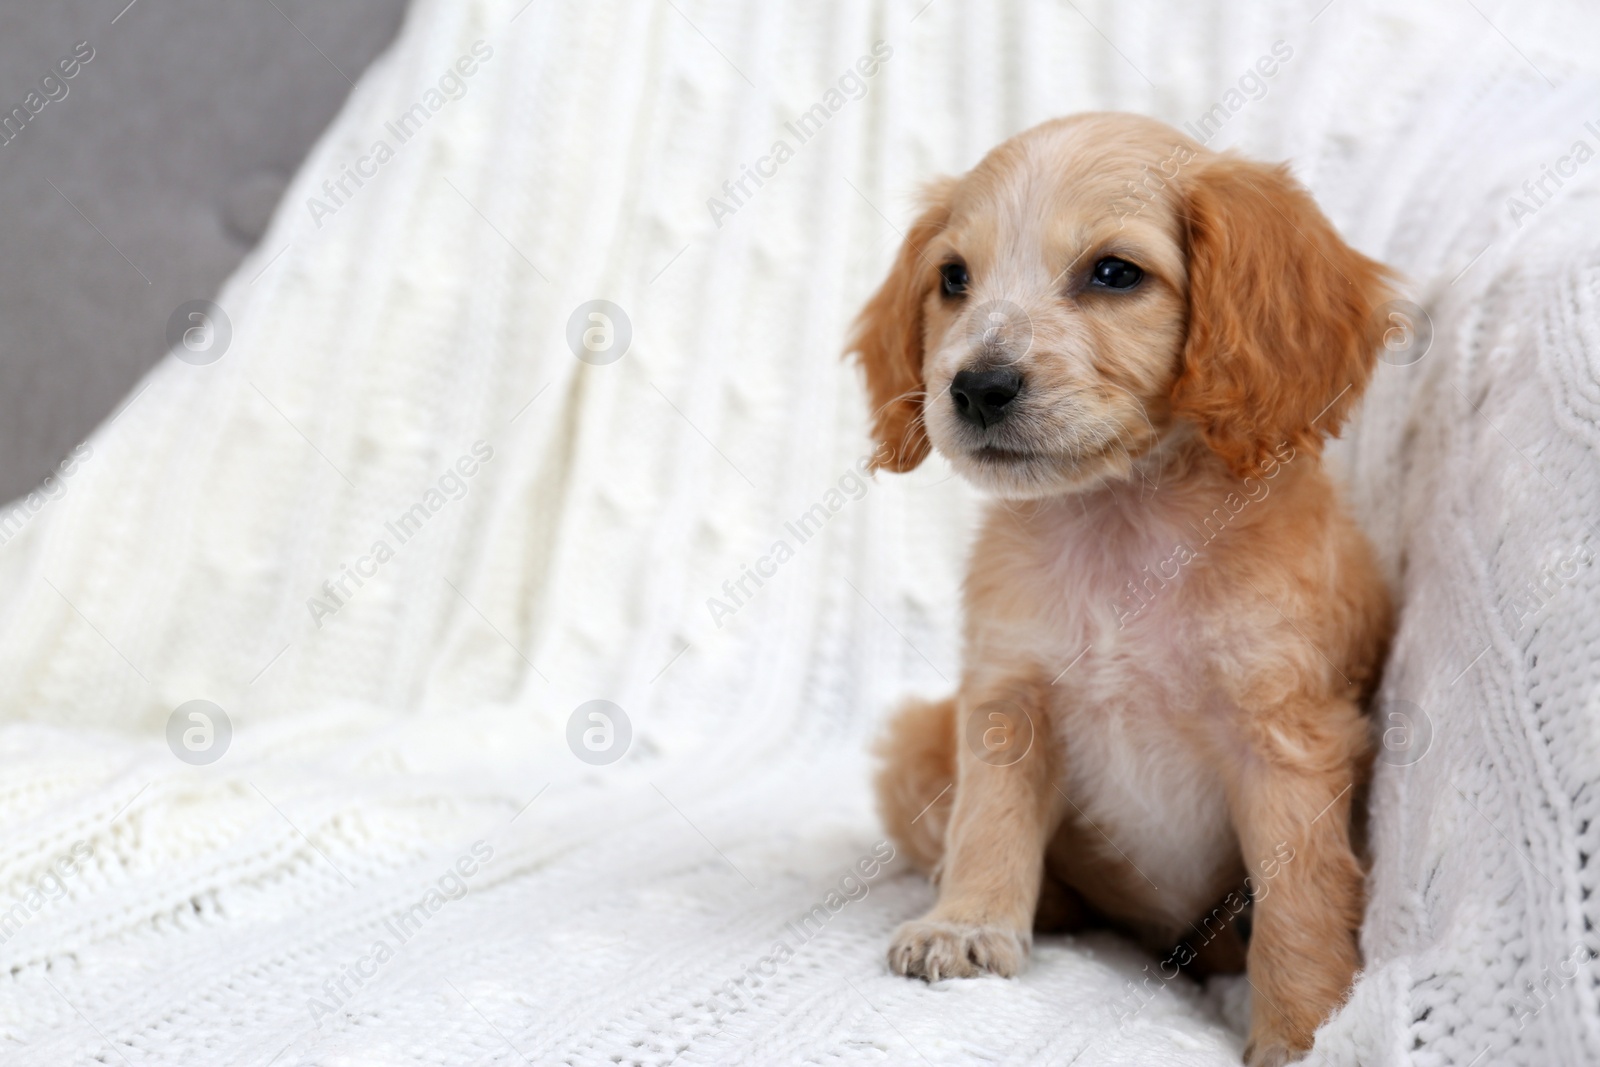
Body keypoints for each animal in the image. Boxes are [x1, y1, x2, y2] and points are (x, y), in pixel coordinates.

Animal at [857, 115, 1395, 1067]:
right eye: (953, 279)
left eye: (1114, 272)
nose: (976, 388)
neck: (1123, 520)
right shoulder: (1006, 697)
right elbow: (987, 823)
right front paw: (968, 924)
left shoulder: (1286, 734)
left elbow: (1302, 896)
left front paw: (1300, 1030)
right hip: (919, 742)